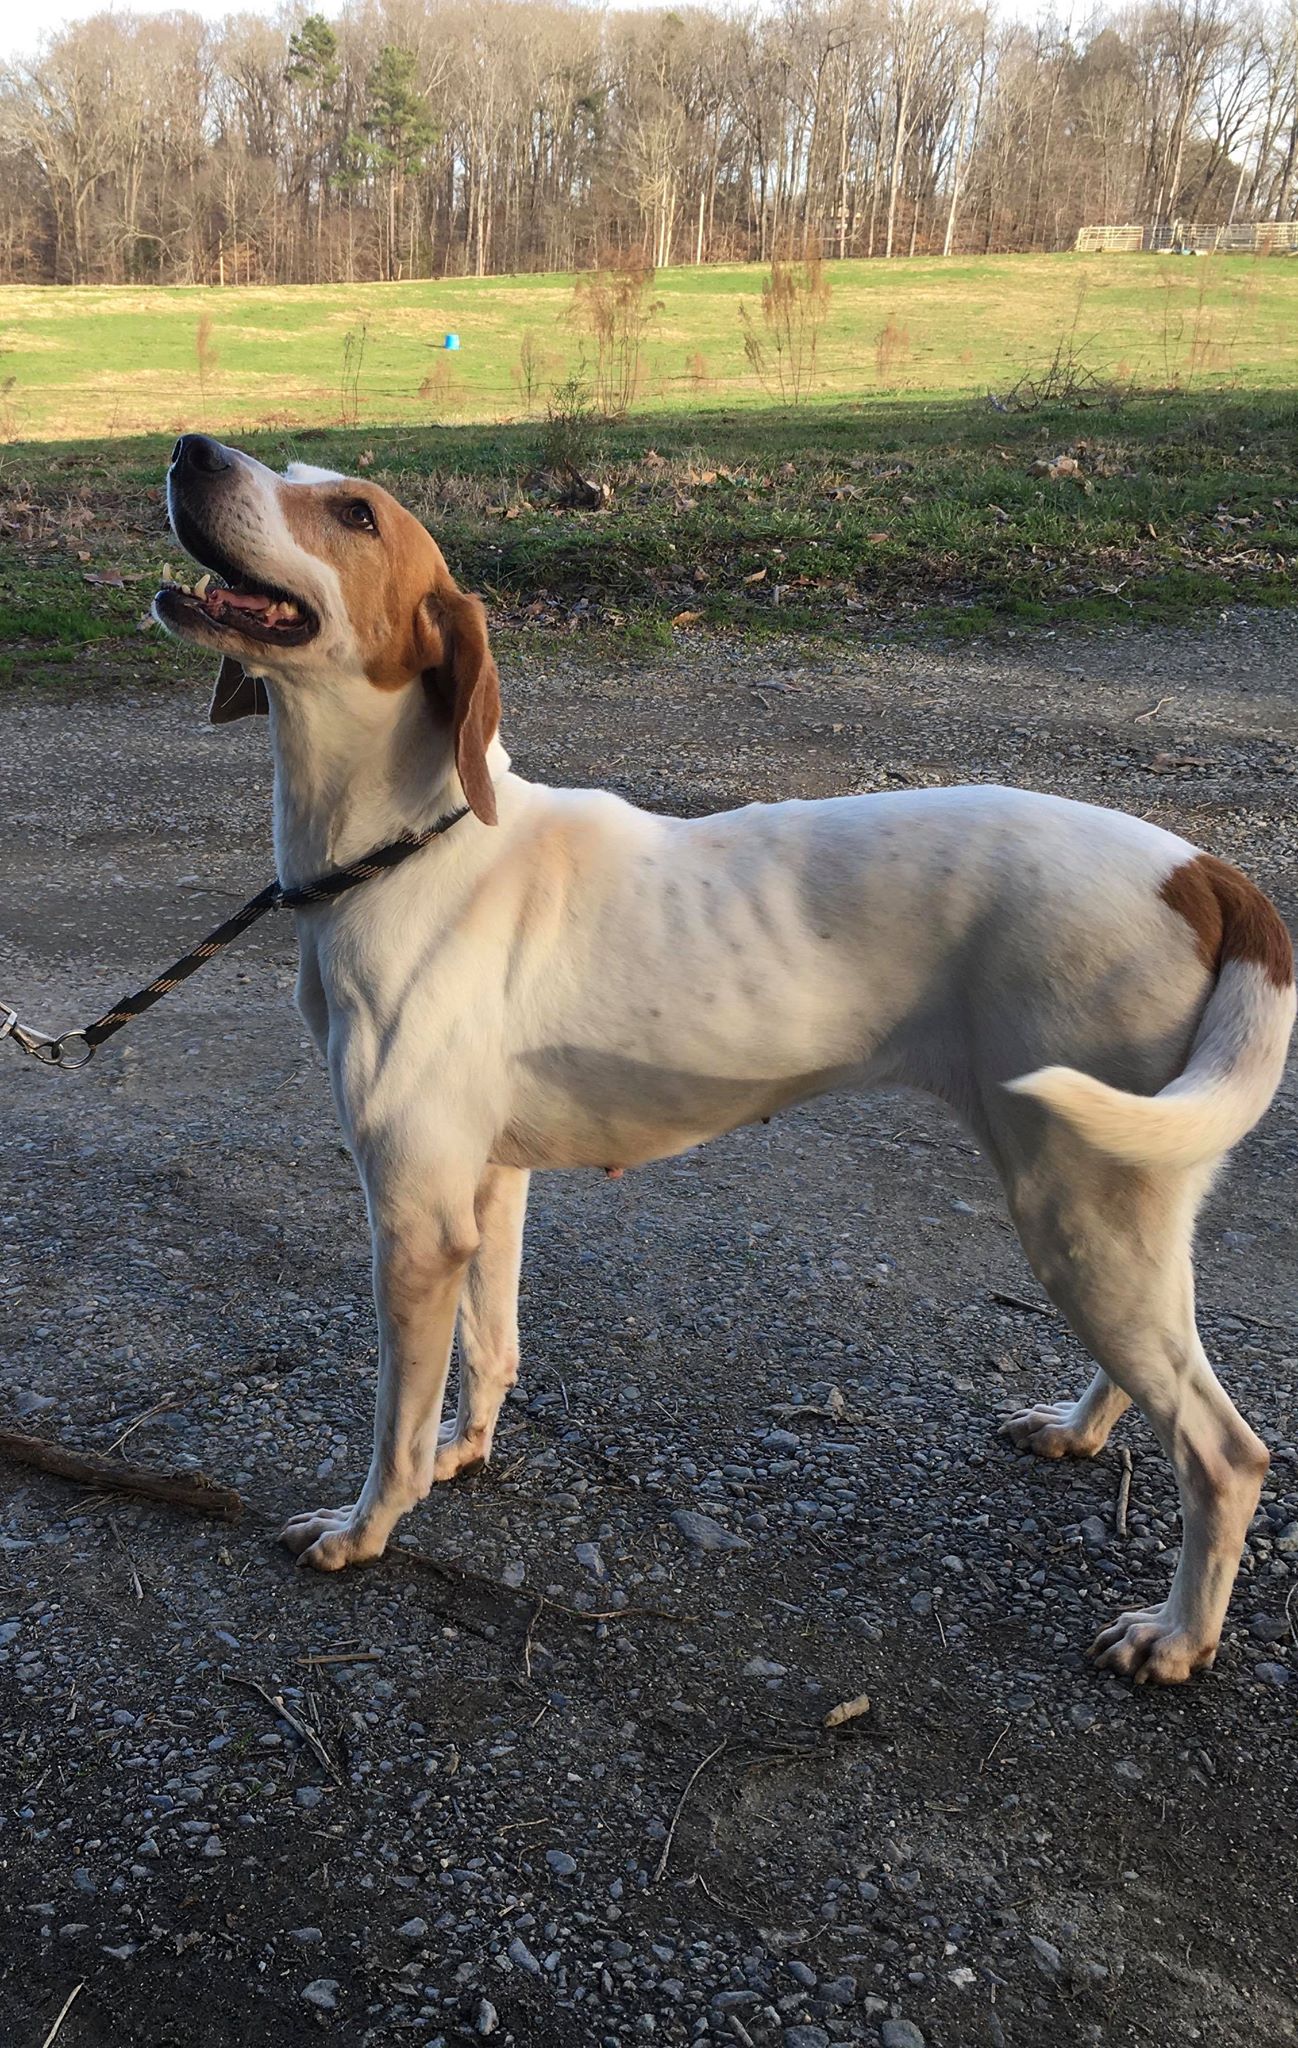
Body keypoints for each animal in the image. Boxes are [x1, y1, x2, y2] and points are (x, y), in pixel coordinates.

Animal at [154, 432, 1293, 1679]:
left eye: (355, 513)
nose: (192, 448)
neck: (410, 844)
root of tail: (1203, 872)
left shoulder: (413, 1221)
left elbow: (392, 1427)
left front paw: (366, 1529)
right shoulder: (486, 1189)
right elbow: (489, 1349)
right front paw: (468, 1448)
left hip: (1076, 1204)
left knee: (1224, 1449)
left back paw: (1176, 1635)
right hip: (1115, 1204)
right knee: (1152, 1372)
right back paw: (1081, 1429)